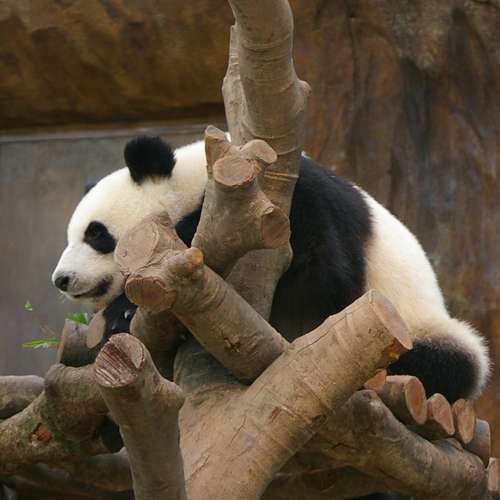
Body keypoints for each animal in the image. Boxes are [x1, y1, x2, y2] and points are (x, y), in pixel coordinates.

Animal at [52, 135, 490, 403]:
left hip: (420, 328)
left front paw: (124, 311)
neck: (200, 179)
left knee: (448, 363)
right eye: (71, 235)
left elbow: (320, 274)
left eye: (96, 234)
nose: (61, 279)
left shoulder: (285, 201)